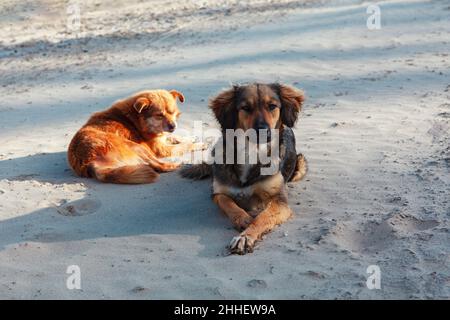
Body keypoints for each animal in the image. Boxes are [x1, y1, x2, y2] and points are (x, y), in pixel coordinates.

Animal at [181, 84, 308, 254]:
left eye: (272, 106)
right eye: (246, 107)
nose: (263, 131)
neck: (251, 152)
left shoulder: (280, 201)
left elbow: (262, 218)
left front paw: (245, 237)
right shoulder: (218, 193)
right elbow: (230, 205)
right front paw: (244, 219)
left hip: (300, 166)